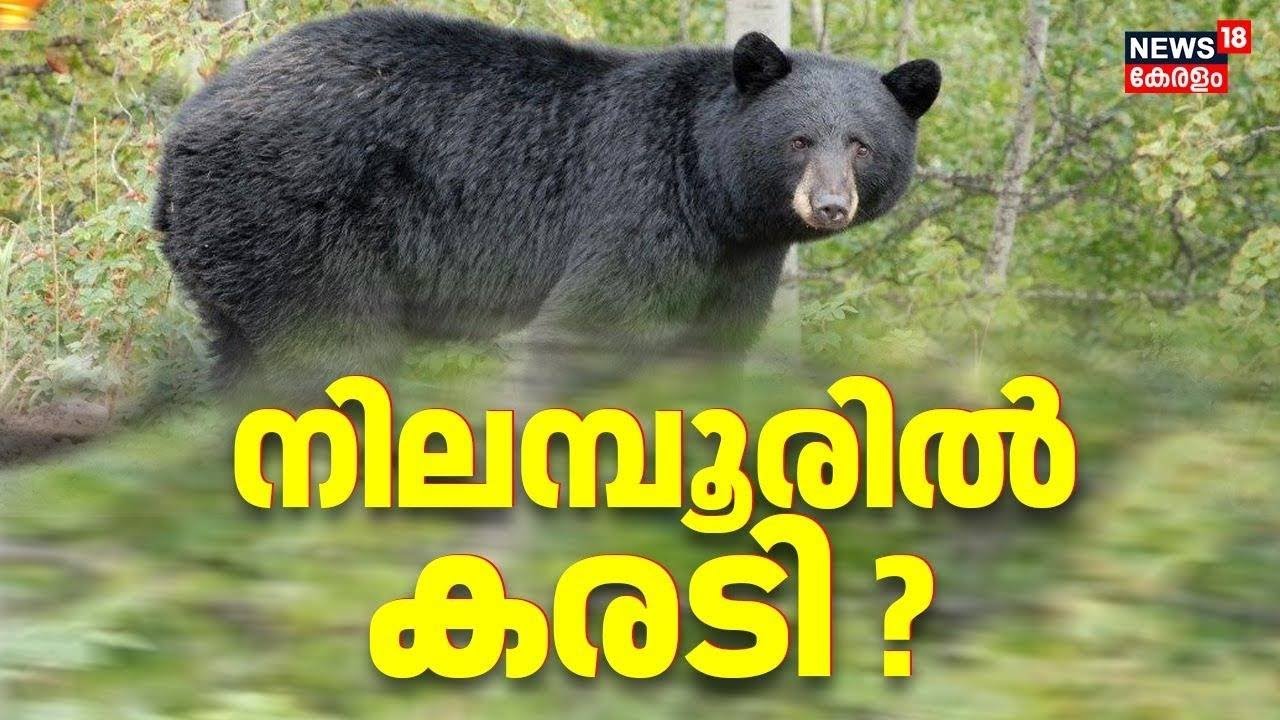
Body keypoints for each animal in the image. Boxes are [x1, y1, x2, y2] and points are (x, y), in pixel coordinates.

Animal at [154, 9, 940, 389]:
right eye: (799, 139)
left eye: (862, 145)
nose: (830, 205)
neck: (714, 195)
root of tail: (182, 133)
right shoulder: (639, 207)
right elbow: (590, 328)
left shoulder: (738, 264)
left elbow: (706, 353)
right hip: (297, 221)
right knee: (334, 352)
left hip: (237, 252)